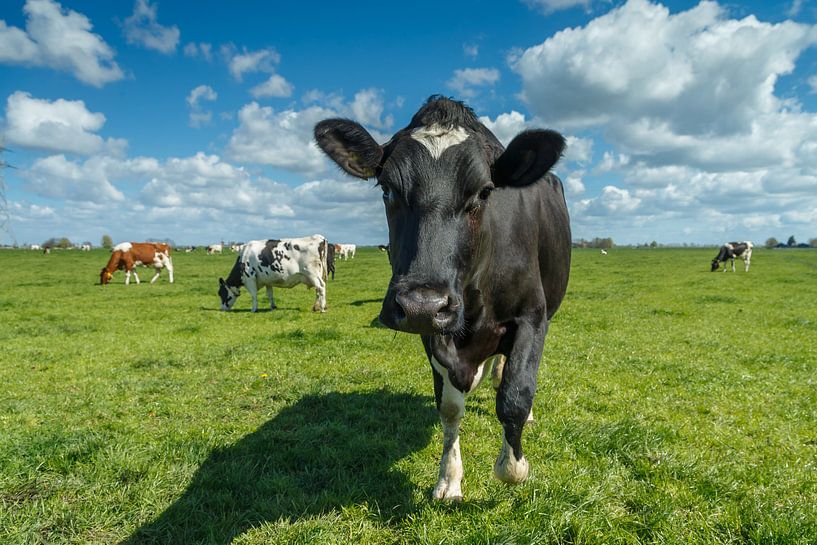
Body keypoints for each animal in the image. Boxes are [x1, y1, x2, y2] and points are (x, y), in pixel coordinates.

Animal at [316, 94, 572, 502]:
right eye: (387, 190)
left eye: (484, 192)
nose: (423, 304)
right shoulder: (432, 333)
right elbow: (450, 408)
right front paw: (449, 478)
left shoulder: (532, 314)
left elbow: (516, 396)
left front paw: (514, 466)